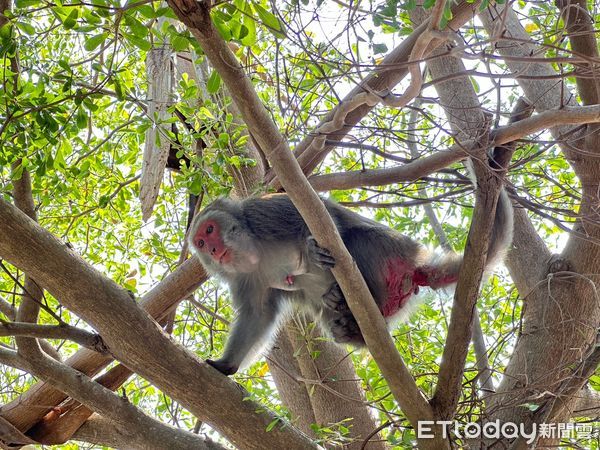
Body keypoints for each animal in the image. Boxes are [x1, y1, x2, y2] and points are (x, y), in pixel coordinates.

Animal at [190, 173, 512, 376]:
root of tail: (416, 266)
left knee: (356, 240)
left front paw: (311, 249)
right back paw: (348, 327)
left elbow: (316, 217)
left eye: (210, 229)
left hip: (389, 252)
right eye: (201, 243)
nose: (214, 249)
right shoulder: (245, 280)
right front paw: (226, 364)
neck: (253, 251)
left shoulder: (265, 211)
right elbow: (258, 314)